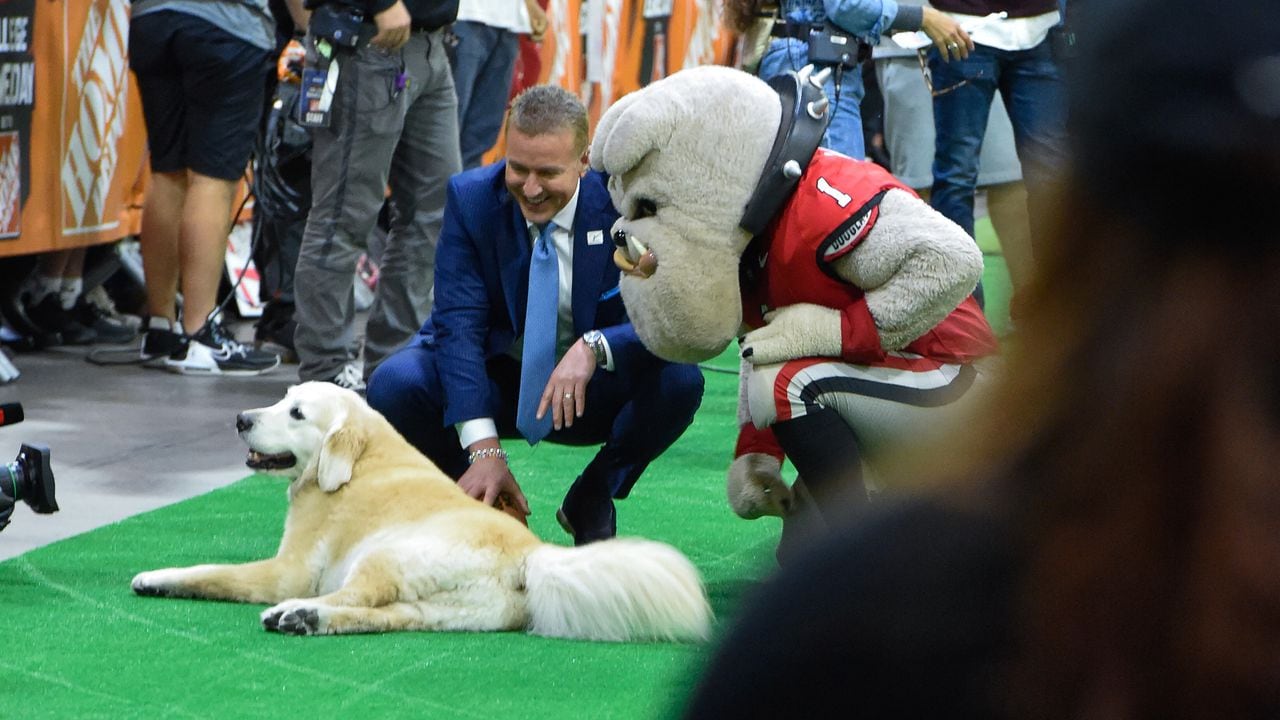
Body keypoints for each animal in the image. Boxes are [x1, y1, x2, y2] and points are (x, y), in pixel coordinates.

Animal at [129, 381, 711, 638]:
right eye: (280, 399)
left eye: (295, 413)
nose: (240, 419)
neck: (357, 460)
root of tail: (531, 556)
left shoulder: (286, 569)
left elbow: (213, 572)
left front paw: (158, 576)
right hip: (433, 609)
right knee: (374, 615)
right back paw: (307, 619)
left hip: (383, 555)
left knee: (353, 596)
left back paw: (292, 612)